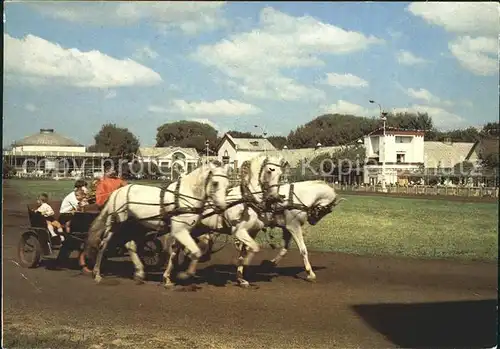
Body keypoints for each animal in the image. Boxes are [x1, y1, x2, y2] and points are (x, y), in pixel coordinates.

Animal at [84, 160, 232, 286]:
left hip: (136, 226)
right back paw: (97, 273)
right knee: (103, 245)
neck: (184, 195)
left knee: (130, 245)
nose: (222, 207)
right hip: (115, 224)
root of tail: (117, 192)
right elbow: (195, 252)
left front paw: (168, 278)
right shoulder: (179, 230)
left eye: (228, 185)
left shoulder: (183, 231)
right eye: (215, 183)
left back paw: (139, 272)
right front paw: (184, 275)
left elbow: (175, 253)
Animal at [160, 155, 286, 286]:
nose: (274, 196)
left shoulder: (252, 232)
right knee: (174, 248)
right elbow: (254, 248)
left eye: (281, 174)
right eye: (270, 170)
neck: (248, 199)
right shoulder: (239, 231)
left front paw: (241, 278)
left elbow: (247, 251)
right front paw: (243, 265)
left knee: (179, 247)